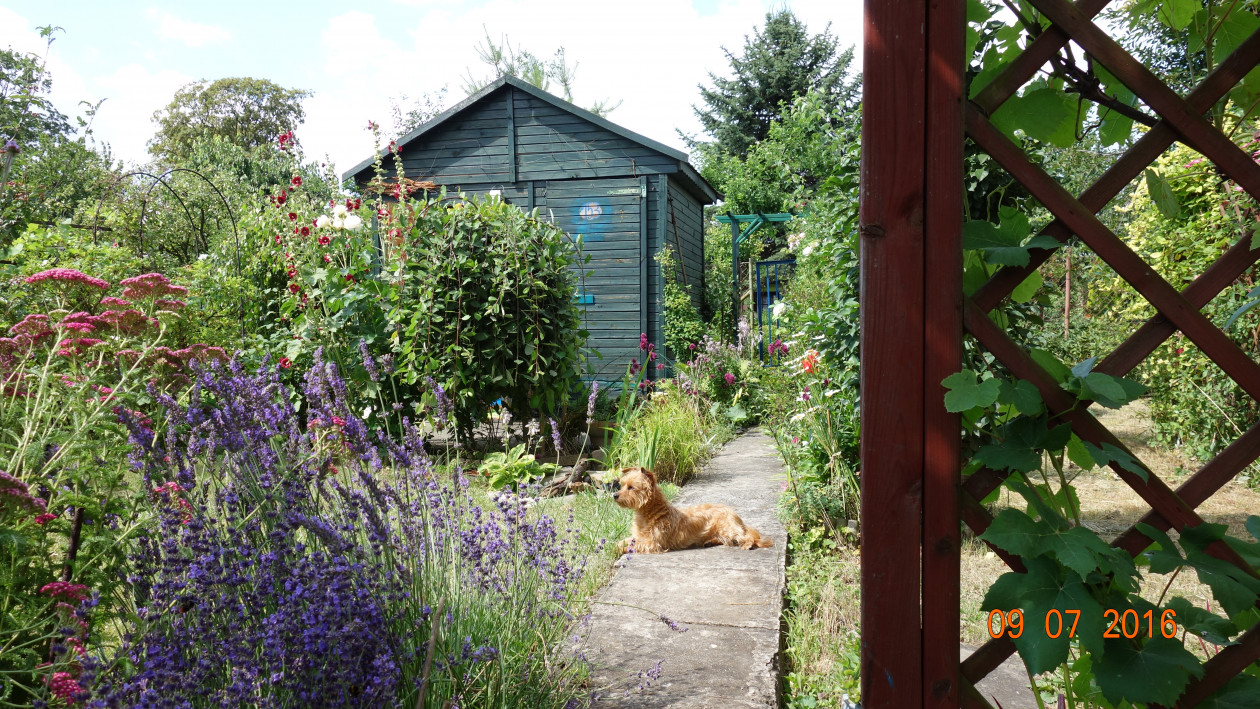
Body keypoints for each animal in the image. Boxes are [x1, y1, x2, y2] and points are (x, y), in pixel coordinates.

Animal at [614, 465, 771, 554]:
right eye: (622, 485)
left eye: (631, 487)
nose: (614, 495)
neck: (647, 514)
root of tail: (733, 513)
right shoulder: (638, 537)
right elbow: (624, 541)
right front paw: (613, 546)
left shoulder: (652, 543)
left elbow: (631, 545)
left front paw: (617, 550)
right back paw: (709, 542)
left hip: (728, 529)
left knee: (747, 537)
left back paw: (747, 544)